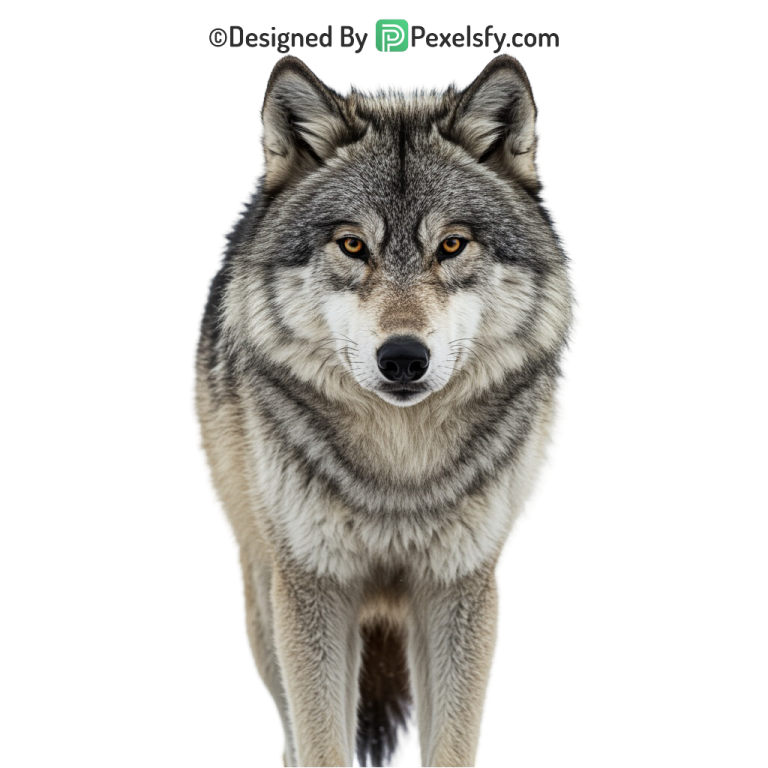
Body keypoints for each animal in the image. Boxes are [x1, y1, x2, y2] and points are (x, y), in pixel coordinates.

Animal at [189, 52, 580, 768]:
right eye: (352, 246)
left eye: (451, 245)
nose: (403, 358)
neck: (400, 468)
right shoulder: (312, 587)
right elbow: (321, 745)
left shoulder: (461, 587)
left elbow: (452, 745)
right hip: (263, 595)